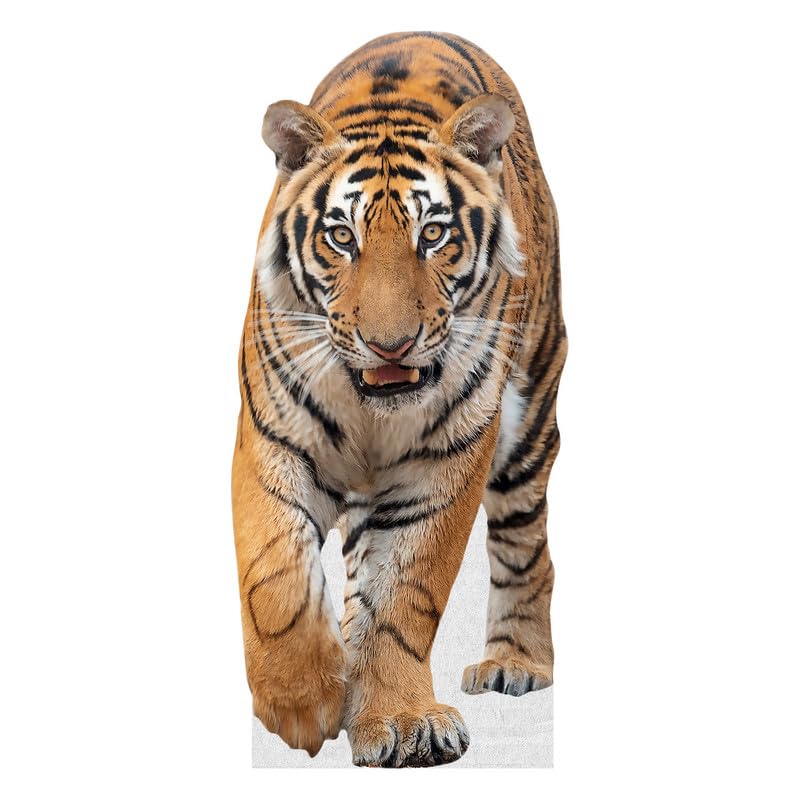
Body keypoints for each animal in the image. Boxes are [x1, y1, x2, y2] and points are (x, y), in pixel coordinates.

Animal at [232, 31, 566, 767]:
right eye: (341, 237)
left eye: (433, 236)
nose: (391, 345)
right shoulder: (271, 442)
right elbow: (276, 574)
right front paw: (303, 700)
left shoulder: (443, 465)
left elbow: (402, 596)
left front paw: (399, 719)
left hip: (531, 411)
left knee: (526, 543)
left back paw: (516, 662)